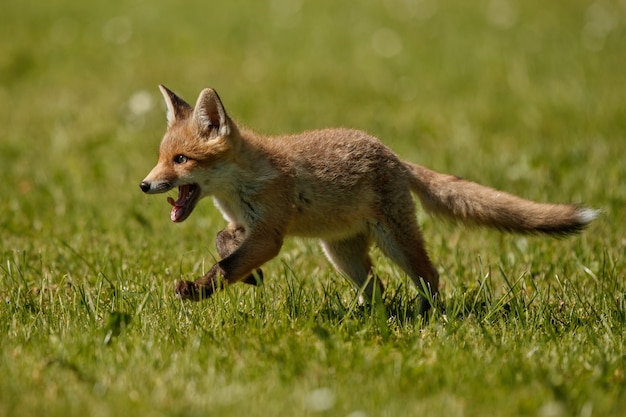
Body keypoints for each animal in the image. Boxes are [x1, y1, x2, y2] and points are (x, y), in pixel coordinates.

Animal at [139, 85, 596, 312]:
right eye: (161, 158)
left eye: (181, 160)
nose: (144, 185)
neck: (240, 186)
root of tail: (391, 154)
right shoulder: (246, 224)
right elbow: (224, 243)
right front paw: (251, 277)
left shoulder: (269, 235)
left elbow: (227, 265)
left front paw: (198, 291)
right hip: (341, 253)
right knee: (376, 287)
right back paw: (362, 317)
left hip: (396, 241)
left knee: (429, 277)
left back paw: (430, 316)